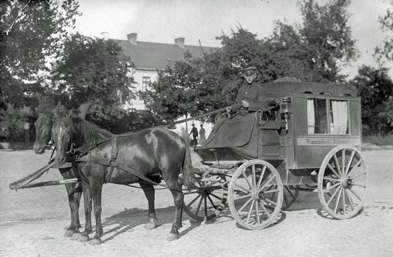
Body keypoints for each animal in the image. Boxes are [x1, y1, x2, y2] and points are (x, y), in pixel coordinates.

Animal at [33, 101, 92, 237]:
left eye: (47, 124)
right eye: (35, 124)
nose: (37, 148)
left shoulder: (79, 179)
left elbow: (77, 201)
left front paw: (76, 228)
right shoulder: (67, 179)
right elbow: (72, 203)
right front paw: (73, 227)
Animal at [52, 108, 198, 244]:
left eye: (68, 131)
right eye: (54, 131)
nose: (60, 159)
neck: (92, 148)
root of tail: (180, 139)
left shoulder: (96, 182)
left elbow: (97, 208)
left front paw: (97, 235)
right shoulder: (85, 183)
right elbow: (87, 208)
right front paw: (86, 233)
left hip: (170, 176)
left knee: (178, 198)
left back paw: (174, 230)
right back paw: (177, 225)